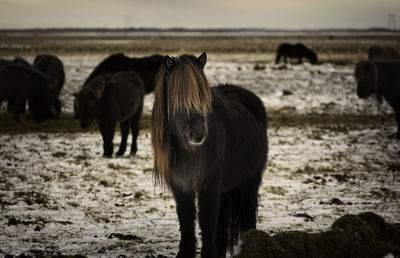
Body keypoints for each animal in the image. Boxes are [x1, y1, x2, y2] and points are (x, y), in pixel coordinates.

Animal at [152, 52, 268, 256]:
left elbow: (206, 219)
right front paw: (186, 252)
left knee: (248, 214)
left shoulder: (209, 184)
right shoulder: (181, 185)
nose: (198, 134)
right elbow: (186, 218)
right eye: (177, 98)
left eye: (203, 96)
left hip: (249, 182)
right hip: (227, 188)